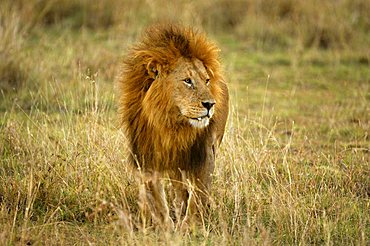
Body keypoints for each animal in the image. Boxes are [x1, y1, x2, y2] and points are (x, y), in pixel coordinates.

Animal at [118, 24, 228, 228]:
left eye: (206, 80)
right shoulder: (147, 157)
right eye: (187, 81)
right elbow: (156, 199)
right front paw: (166, 227)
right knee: (179, 189)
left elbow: (198, 196)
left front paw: (190, 227)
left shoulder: (204, 153)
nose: (210, 104)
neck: (172, 124)